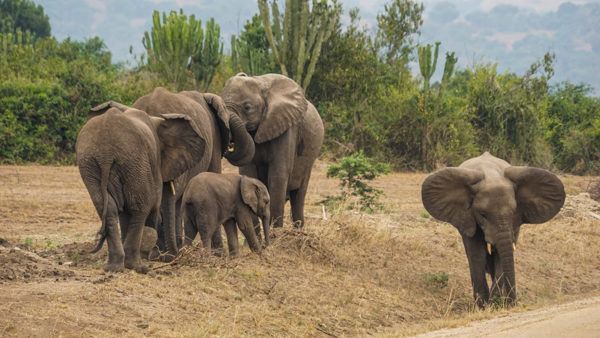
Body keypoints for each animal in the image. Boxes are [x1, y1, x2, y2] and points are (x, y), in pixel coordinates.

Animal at [75, 107, 207, 274]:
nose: (172, 257)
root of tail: (106, 152)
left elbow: (124, 212)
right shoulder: (153, 160)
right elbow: (153, 204)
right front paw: (148, 257)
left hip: (91, 163)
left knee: (107, 207)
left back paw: (114, 267)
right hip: (133, 161)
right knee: (141, 206)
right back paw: (138, 266)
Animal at [220, 72, 324, 228]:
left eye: (247, 107)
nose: (228, 145)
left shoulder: (287, 127)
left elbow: (279, 172)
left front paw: (275, 231)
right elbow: (248, 172)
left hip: (309, 160)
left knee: (299, 195)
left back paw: (298, 231)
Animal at [420, 152, 564, 308]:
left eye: (514, 212)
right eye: (483, 215)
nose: (513, 302)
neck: (491, 175)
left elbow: (500, 255)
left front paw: (495, 302)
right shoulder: (470, 218)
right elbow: (477, 254)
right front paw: (483, 305)